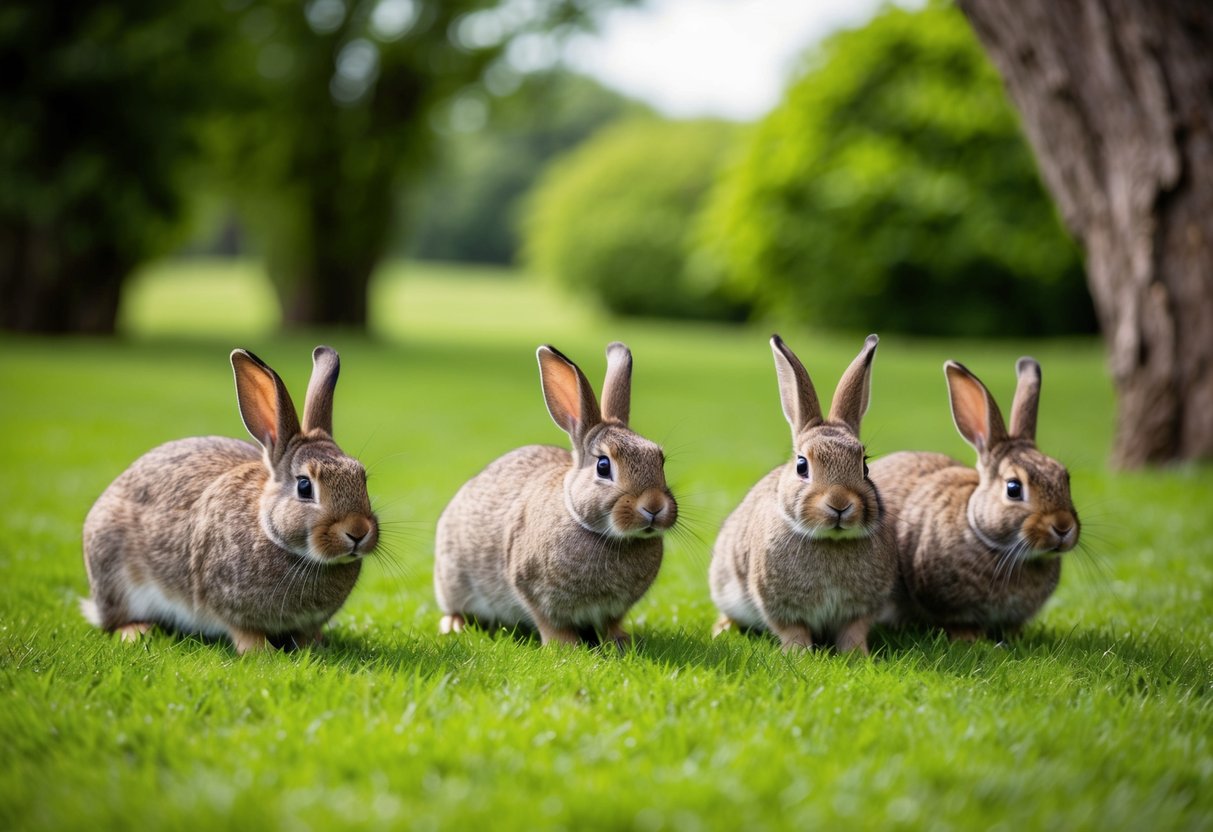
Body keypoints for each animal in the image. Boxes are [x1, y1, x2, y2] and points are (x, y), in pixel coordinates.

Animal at [81, 349, 373, 654]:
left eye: (362, 478)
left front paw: (315, 646)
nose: (358, 532)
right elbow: (245, 633)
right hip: (113, 571)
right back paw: (136, 631)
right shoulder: (226, 605)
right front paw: (262, 652)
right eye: (305, 487)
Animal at [434, 342, 684, 650]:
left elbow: (611, 623)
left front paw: (620, 641)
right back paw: (454, 625)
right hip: (453, 577)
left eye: (660, 461)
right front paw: (565, 646)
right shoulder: (532, 589)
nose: (654, 507)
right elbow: (550, 623)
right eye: (603, 466)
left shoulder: (613, 609)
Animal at [708, 334, 897, 654]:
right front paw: (799, 655)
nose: (839, 503)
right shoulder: (779, 606)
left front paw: (858, 656)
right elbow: (792, 630)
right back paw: (722, 629)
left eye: (865, 466)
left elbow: (853, 632)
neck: (831, 541)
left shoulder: (859, 611)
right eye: (801, 465)